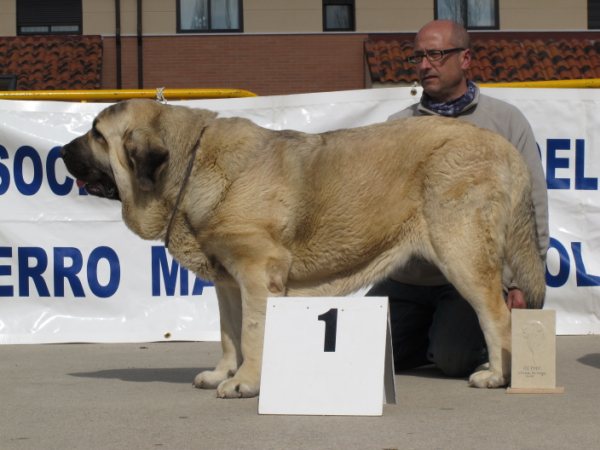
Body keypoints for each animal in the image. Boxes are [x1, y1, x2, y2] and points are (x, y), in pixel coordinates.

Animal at [62, 98, 548, 398]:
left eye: (98, 135)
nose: (63, 151)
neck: (189, 164)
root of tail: (504, 146)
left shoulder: (256, 272)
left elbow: (252, 332)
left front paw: (245, 383)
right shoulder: (228, 281)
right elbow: (228, 332)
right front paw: (223, 373)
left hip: (461, 252)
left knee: (497, 314)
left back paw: (498, 375)